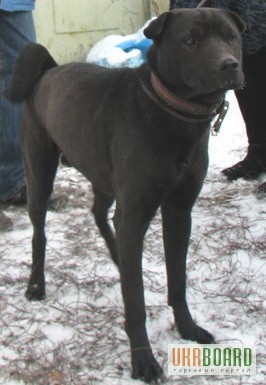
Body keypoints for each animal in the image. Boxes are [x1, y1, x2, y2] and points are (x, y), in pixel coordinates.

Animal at [5, 9, 245, 380]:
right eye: (190, 40)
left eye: (231, 36)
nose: (229, 65)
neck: (170, 113)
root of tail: (49, 70)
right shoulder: (135, 213)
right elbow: (135, 302)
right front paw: (143, 362)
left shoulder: (179, 211)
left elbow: (178, 280)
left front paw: (188, 328)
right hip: (40, 174)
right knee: (40, 233)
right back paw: (36, 285)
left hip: (103, 177)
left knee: (98, 213)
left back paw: (118, 254)